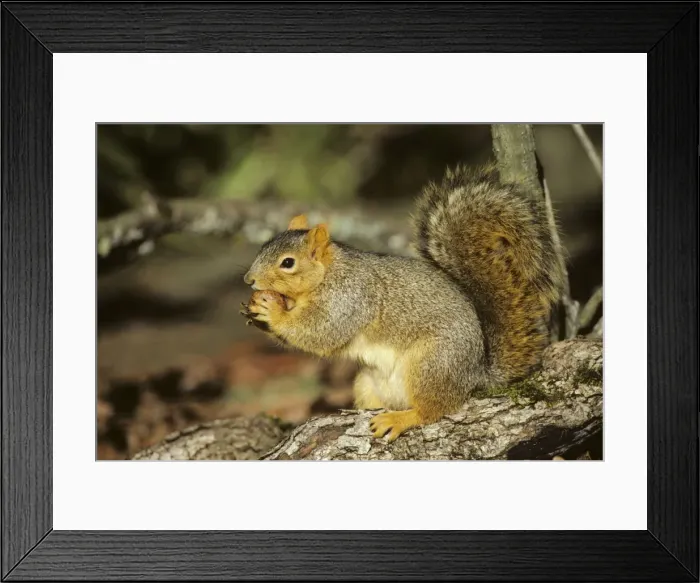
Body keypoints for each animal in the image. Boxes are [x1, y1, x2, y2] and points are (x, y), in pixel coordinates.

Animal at [240, 163, 564, 441]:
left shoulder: (349, 299)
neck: (328, 274)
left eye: (288, 263)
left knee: (434, 410)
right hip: (367, 382)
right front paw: (257, 310)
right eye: (263, 247)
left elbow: (320, 332)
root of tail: (475, 374)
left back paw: (401, 418)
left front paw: (273, 311)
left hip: (431, 364)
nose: (248, 279)